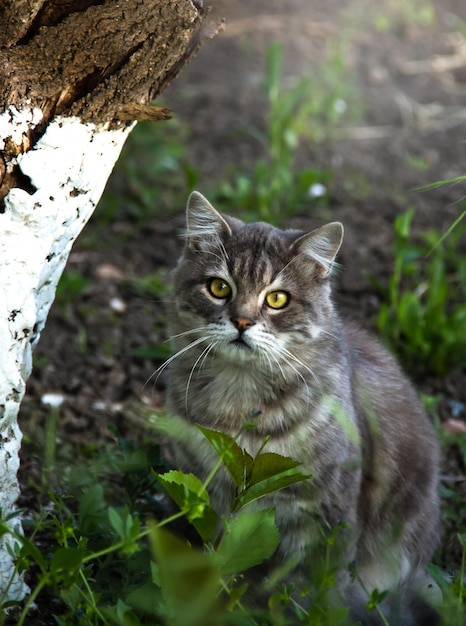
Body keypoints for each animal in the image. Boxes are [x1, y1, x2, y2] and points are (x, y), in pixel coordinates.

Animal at [164, 191, 440, 624]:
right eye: (218, 288)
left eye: (277, 298)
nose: (241, 321)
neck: (240, 401)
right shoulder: (207, 497)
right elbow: (220, 562)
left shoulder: (324, 513)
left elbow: (309, 590)